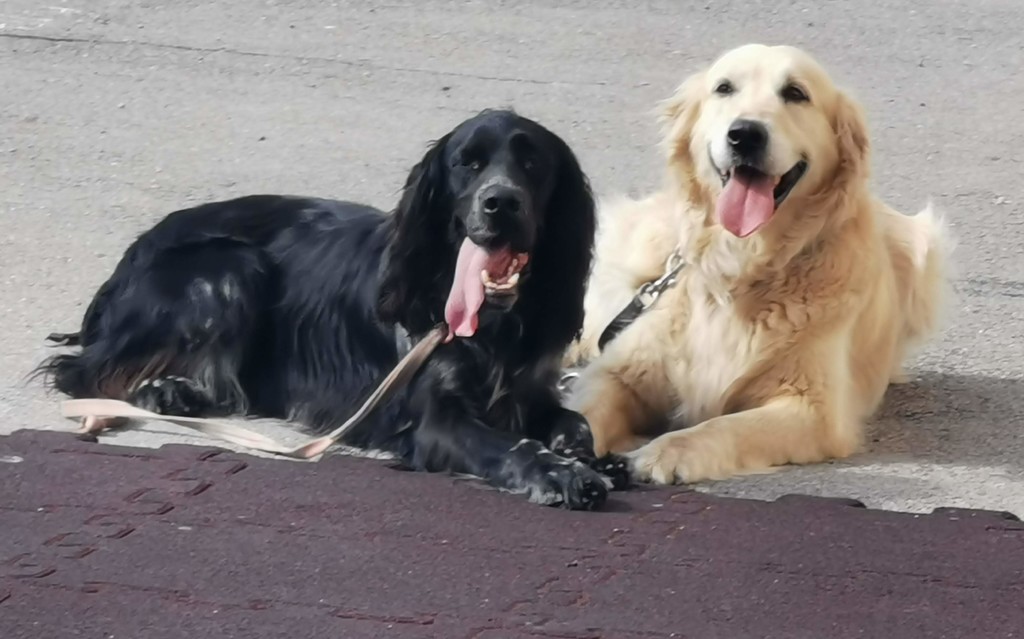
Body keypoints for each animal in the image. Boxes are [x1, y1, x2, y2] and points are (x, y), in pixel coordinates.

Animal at [39, 109, 628, 509]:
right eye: (468, 163)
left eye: (532, 162)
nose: (500, 203)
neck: (496, 321)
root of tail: (134, 251)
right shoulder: (438, 420)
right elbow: (511, 446)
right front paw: (559, 474)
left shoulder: (532, 389)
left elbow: (573, 420)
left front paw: (589, 456)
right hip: (231, 268)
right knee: (81, 370)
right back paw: (159, 390)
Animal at [564, 44, 951, 484]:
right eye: (724, 88)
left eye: (796, 93)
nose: (745, 134)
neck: (741, 263)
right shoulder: (620, 373)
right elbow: (586, 407)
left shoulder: (812, 409)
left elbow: (720, 427)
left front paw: (660, 453)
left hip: (923, 247)